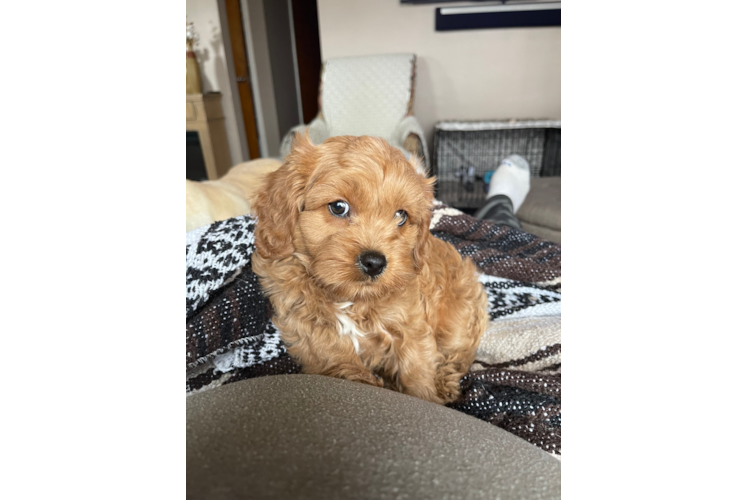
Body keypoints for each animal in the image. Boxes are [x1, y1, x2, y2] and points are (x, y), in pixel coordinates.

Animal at [248, 134, 488, 406]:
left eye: (401, 216)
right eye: (338, 207)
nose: (375, 262)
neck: (350, 300)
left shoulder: (412, 329)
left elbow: (417, 372)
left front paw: (425, 397)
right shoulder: (310, 333)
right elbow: (341, 363)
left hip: (458, 318)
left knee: (460, 354)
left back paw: (446, 382)